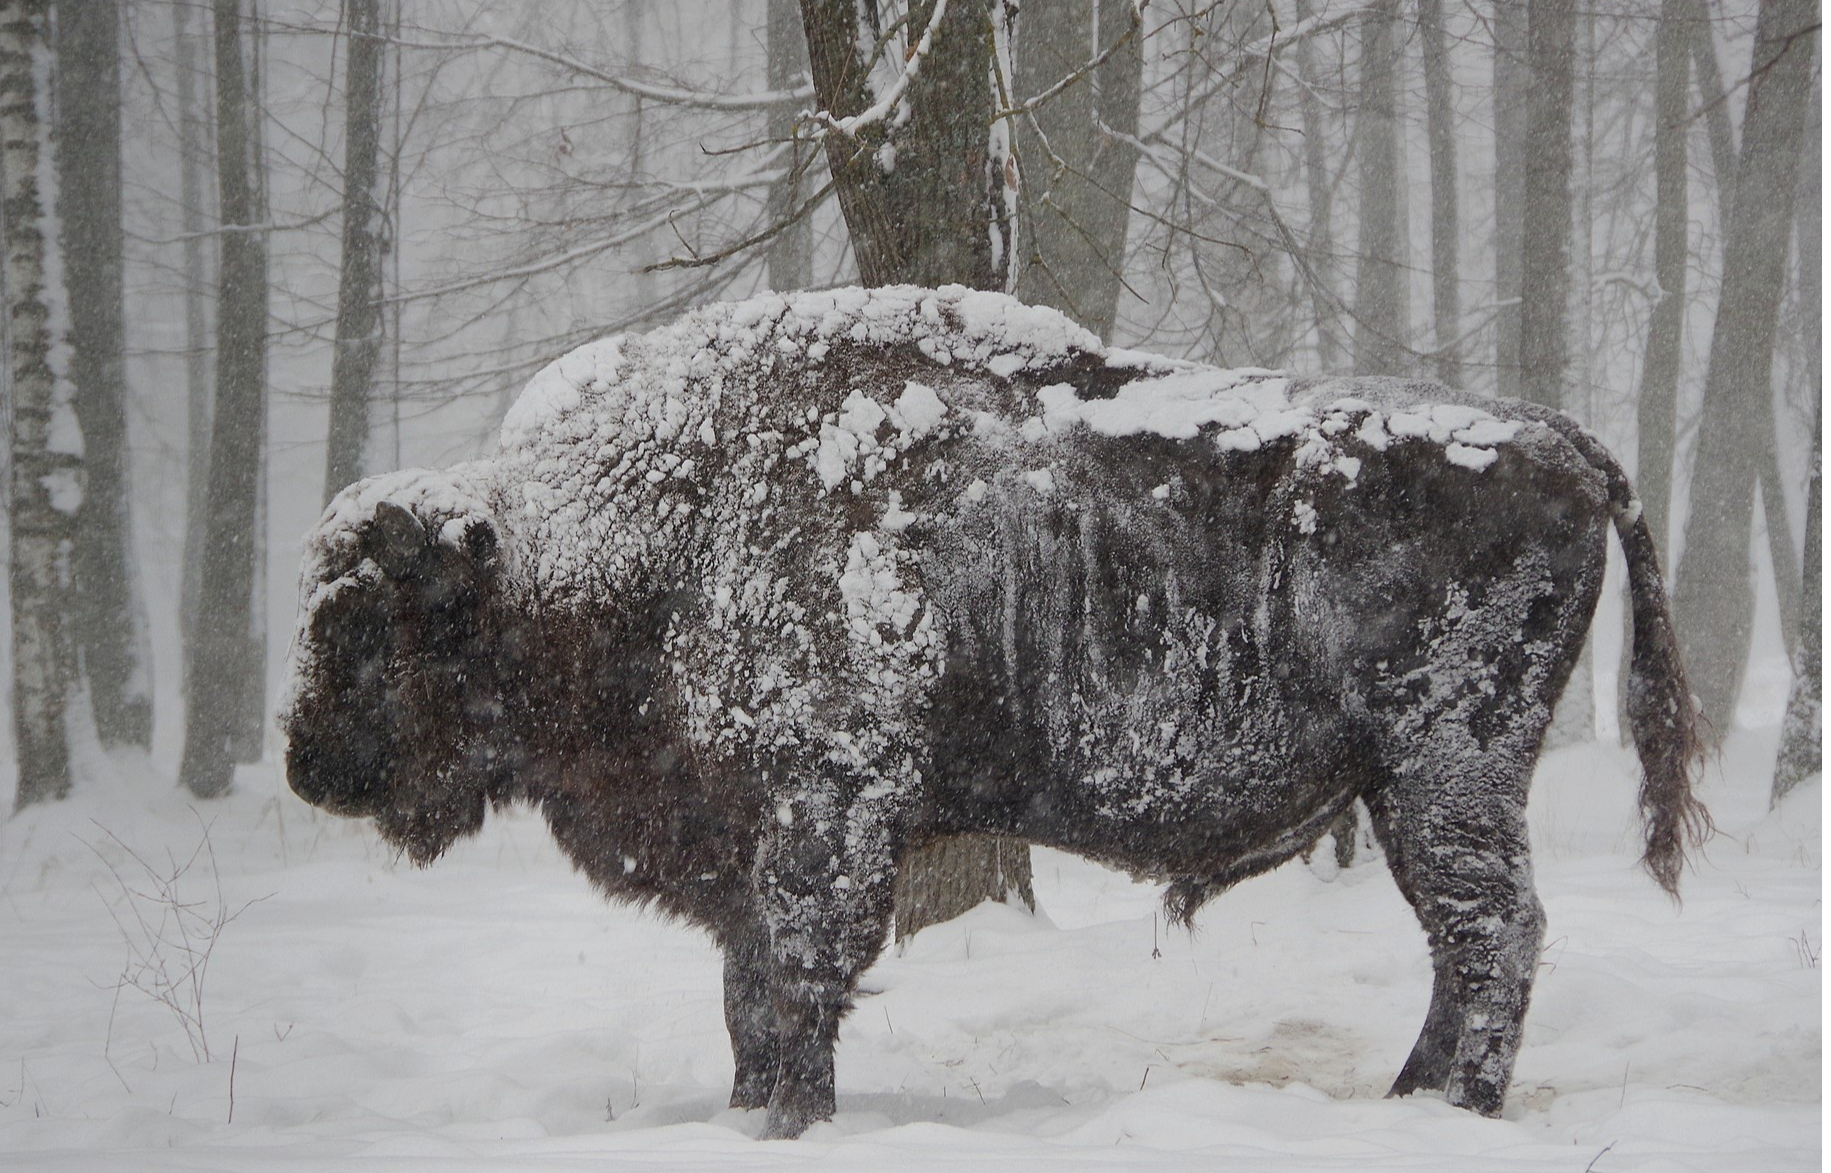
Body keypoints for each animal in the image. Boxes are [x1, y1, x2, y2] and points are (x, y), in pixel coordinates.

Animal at [281, 281, 1699, 1134]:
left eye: (372, 619)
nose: (304, 768)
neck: (649, 530)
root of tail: (1559, 442)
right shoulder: (754, 842)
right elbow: (747, 993)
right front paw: (751, 1114)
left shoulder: (827, 809)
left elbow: (795, 982)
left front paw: (791, 1119)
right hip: (1419, 788)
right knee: (1477, 942)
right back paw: (1410, 1102)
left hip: (1443, 774)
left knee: (1490, 934)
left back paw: (1445, 1109)